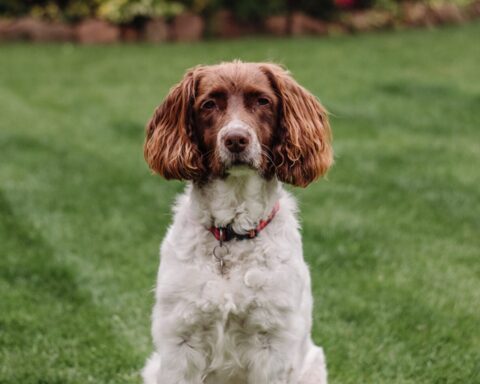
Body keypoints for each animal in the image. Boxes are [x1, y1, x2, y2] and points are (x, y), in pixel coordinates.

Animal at [141, 61, 332, 382]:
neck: (232, 232)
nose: (236, 139)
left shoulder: (272, 343)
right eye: (208, 104)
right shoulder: (180, 338)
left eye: (263, 101)